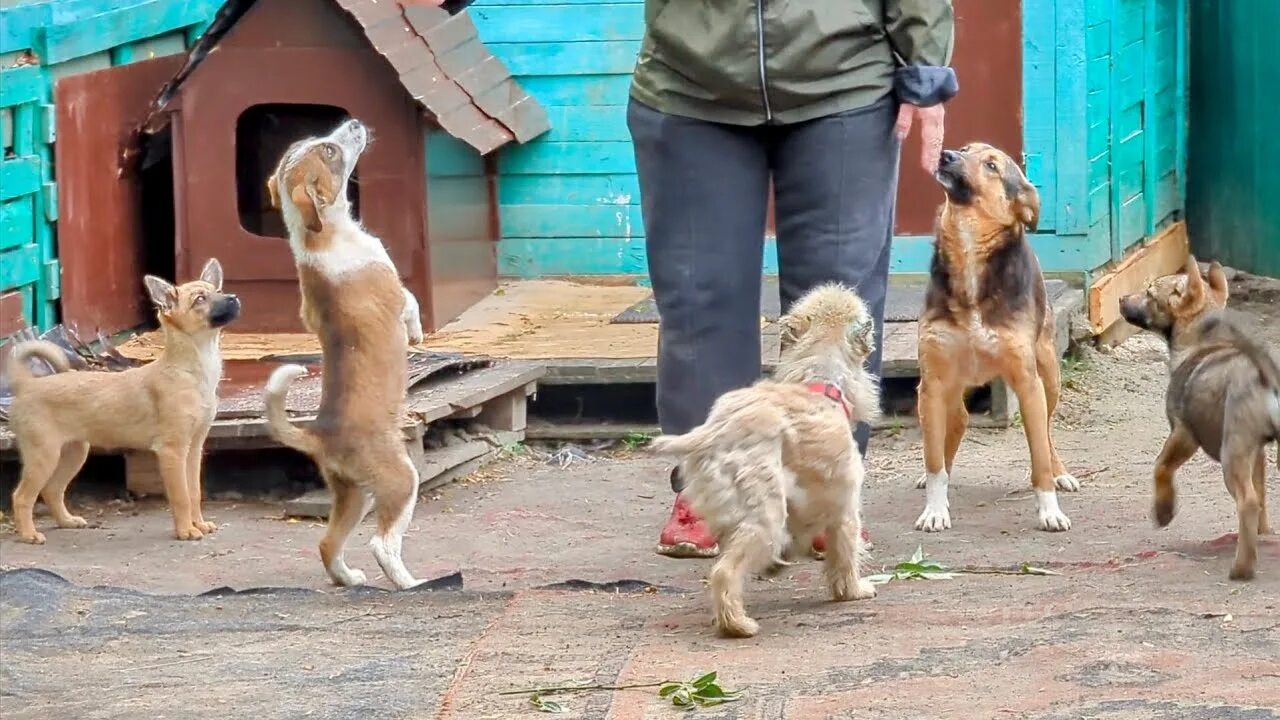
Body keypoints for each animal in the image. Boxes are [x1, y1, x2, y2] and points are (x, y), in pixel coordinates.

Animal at [5, 257, 239, 538]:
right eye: (200, 299)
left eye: (218, 291)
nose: (234, 298)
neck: (192, 368)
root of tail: (27, 384)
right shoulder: (172, 451)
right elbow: (181, 496)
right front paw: (186, 531)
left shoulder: (193, 449)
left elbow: (194, 492)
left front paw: (199, 524)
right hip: (44, 455)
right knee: (21, 496)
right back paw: (29, 535)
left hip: (74, 452)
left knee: (52, 489)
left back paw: (67, 521)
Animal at [262, 117, 427, 589]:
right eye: (329, 151)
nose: (353, 122)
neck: (319, 235)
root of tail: (321, 435)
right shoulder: (395, 291)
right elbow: (411, 303)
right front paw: (417, 334)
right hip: (400, 480)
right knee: (382, 545)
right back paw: (411, 584)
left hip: (353, 495)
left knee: (327, 545)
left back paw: (350, 580)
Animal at [650, 283, 880, 635]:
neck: (820, 379)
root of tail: (715, 432)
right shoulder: (844, 505)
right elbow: (844, 552)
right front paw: (853, 591)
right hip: (763, 514)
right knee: (725, 572)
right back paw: (737, 624)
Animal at [911, 141, 1080, 532]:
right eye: (964, 149)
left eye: (991, 165)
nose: (945, 155)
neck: (969, 248)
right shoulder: (933, 382)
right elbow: (934, 459)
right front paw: (935, 509)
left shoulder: (1028, 383)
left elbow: (1039, 458)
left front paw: (1050, 510)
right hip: (942, 391)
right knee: (954, 426)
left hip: (1049, 379)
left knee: (1048, 432)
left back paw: (1061, 472)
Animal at [1116, 256, 1274, 576]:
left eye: (1149, 293)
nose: (1121, 299)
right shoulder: (1259, 455)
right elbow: (1264, 496)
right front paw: (1264, 535)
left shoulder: (1183, 434)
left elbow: (1161, 467)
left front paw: (1164, 511)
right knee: (1255, 499)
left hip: (1232, 454)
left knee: (1247, 501)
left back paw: (1242, 567)